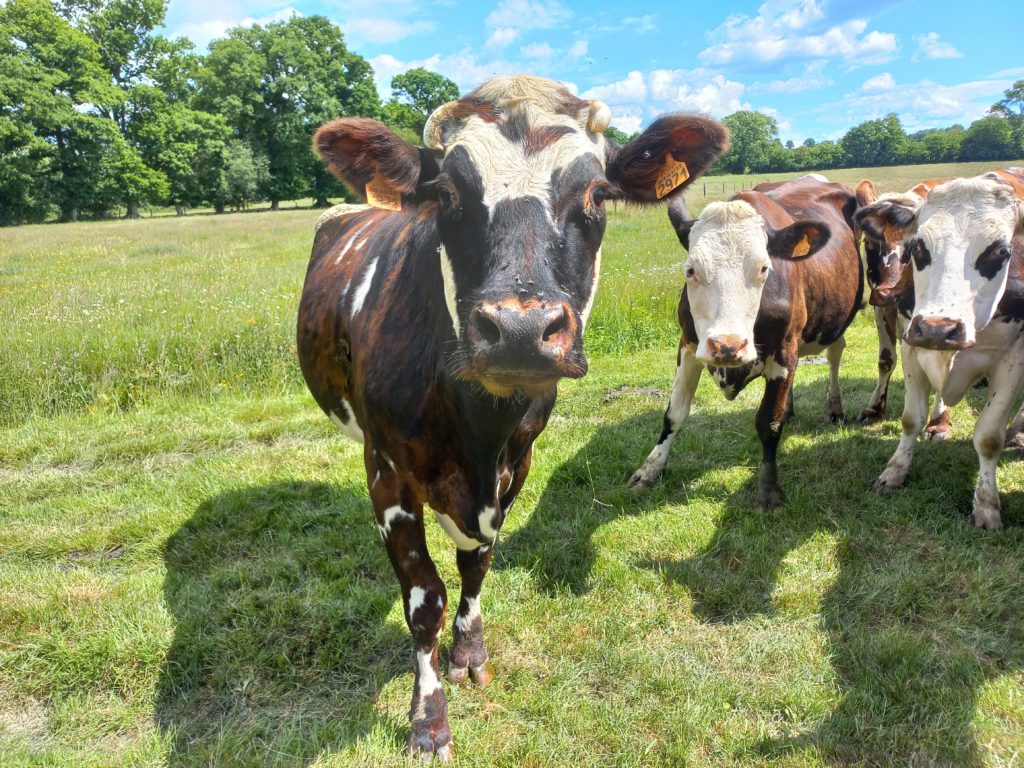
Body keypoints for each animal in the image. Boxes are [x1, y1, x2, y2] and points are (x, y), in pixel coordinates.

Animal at [296, 74, 729, 760]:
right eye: (447, 193)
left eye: (597, 194)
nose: (522, 329)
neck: (477, 431)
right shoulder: (387, 472)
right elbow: (424, 598)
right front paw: (429, 720)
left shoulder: (517, 464)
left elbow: (477, 564)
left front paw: (470, 653)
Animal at [628, 175, 863, 511]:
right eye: (690, 270)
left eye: (764, 268)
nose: (727, 346)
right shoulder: (688, 345)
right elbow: (674, 413)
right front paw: (650, 469)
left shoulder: (785, 349)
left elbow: (769, 422)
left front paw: (768, 492)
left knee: (834, 356)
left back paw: (834, 407)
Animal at [855, 178, 953, 438]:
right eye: (869, 243)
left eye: (913, 245)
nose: (886, 291)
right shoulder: (883, 311)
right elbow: (886, 359)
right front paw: (875, 408)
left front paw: (939, 420)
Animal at [867, 169, 1024, 530]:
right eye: (918, 246)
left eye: (1001, 251)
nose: (939, 327)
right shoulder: (912, 343)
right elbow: (911, 418)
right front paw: (894, 472)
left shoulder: (1014, 357)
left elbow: (988, 437)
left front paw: (986, 505)